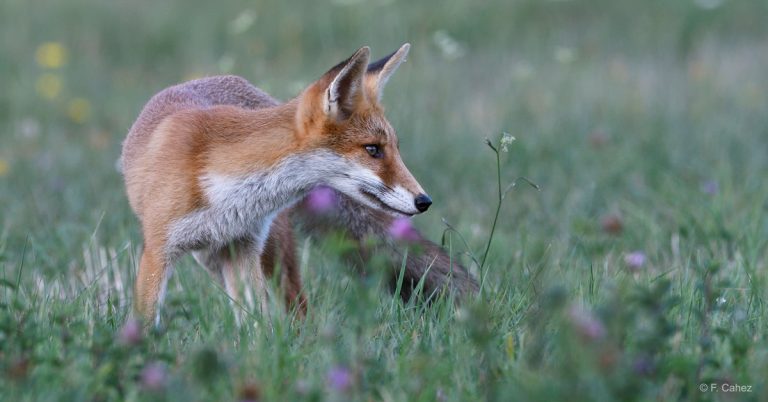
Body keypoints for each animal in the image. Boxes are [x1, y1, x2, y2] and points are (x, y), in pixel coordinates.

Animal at [121, 45, 476, 326]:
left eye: (394, 149)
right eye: (373, 149)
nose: (424, 200)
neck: (224, 190)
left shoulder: (246, 247)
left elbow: (257, 325)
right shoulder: (158, 251)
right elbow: (147, 322)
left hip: (272, 251)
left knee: (299, 307)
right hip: (212, 258)